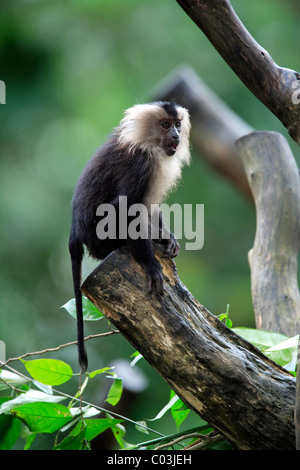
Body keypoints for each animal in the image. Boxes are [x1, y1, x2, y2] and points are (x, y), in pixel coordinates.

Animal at [68, 101, 190, 372]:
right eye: (165, 125)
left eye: (177, 125)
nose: (176, 135)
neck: (147, 145)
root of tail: (74, 230)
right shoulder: (140, 165)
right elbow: (126, 210)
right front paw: (150, 265)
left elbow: (150, 207)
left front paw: (166, 237)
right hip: (99, 239)